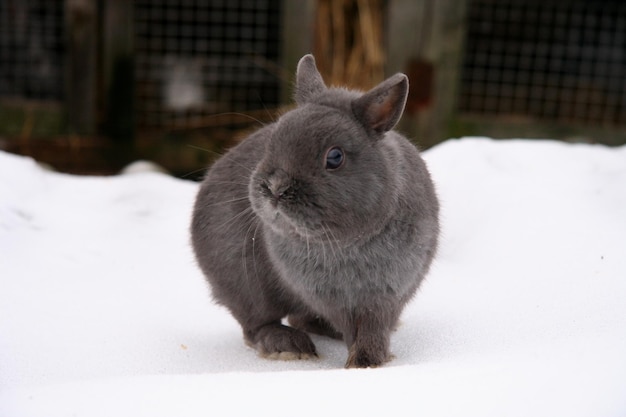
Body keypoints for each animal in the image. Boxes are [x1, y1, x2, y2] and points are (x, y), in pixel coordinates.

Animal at [190, 53, 438, 366]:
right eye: (271, 143)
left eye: (335, 157)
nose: (275, 188)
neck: (347, 241)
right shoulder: (329, 297)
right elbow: (350, 326)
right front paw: (361, 362)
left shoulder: (387, 294)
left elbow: (373, 326)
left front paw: (369, 360)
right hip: (244, 285)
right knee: (256, 324)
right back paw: (288, 346)